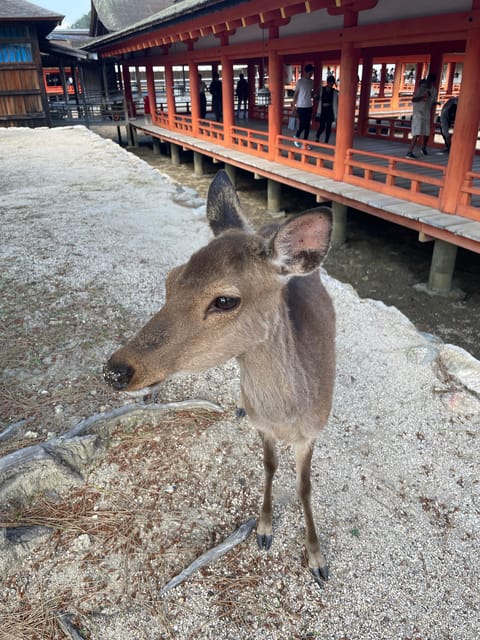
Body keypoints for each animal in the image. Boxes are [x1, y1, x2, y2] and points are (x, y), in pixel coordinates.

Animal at [103, 170, 336, 584]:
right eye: (170, 279)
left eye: (225, 300)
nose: (115, 370)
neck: (287, 414)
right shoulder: (264, 427)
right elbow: (269, 466)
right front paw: (263, 530)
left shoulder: (312, 432)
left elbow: (305, 487)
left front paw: (316, 559)